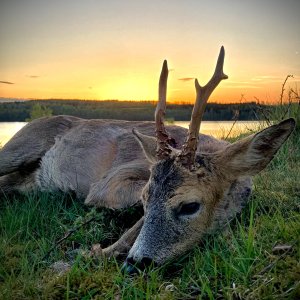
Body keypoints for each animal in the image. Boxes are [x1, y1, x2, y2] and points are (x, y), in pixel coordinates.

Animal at [0, 47, 296, 274]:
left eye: (190, 206)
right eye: (145, 198)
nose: (135, 264)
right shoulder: (110, 181)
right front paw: (98, 252)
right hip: (18, 147)